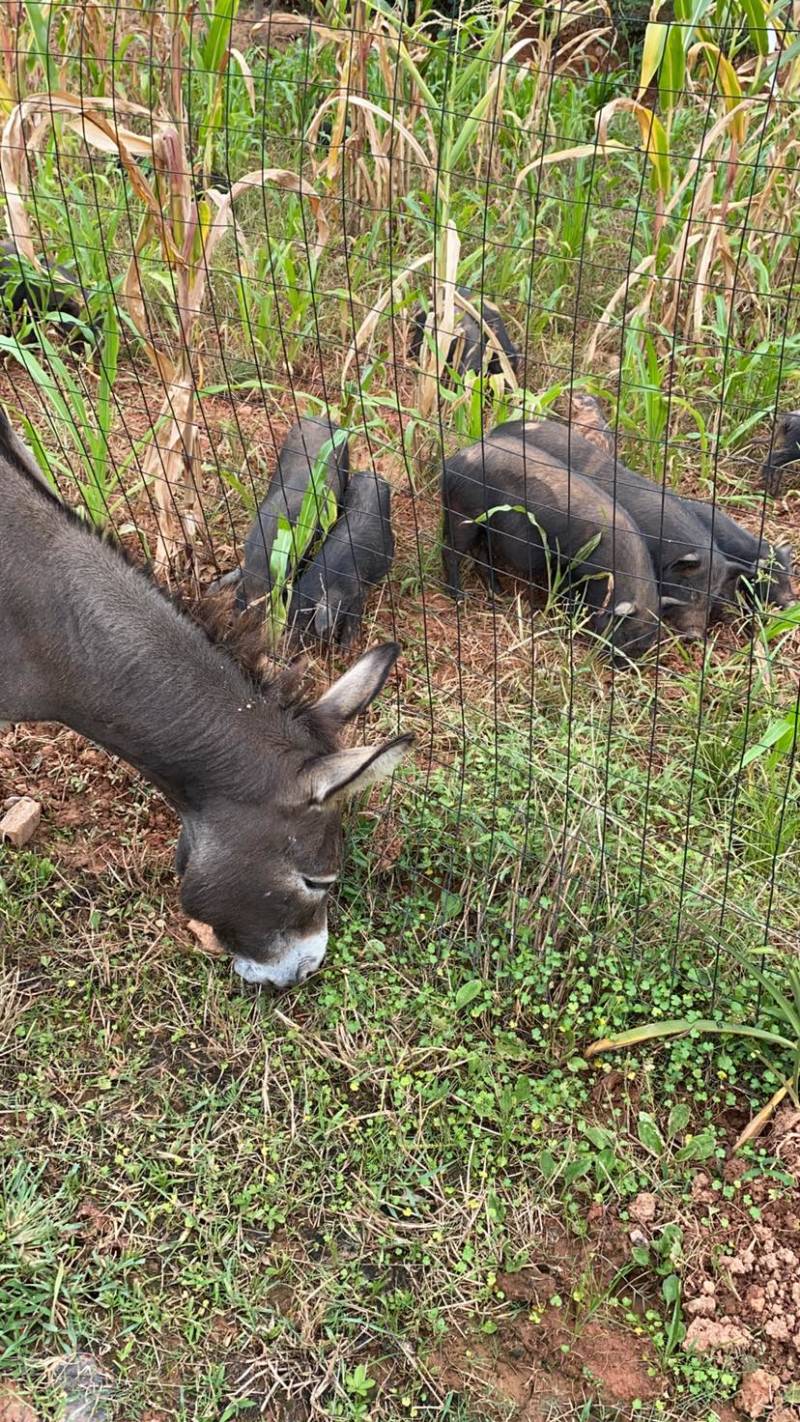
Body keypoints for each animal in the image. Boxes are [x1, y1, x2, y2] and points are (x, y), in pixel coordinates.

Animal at [440, 426, 659, 659]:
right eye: (625, 634)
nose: (623, 662)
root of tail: (452, 464)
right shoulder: (569, 565)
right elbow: (568, 596)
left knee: (481, 555)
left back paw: (499, 595)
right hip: (463, 513)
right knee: (450, 552)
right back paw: (459, 597)